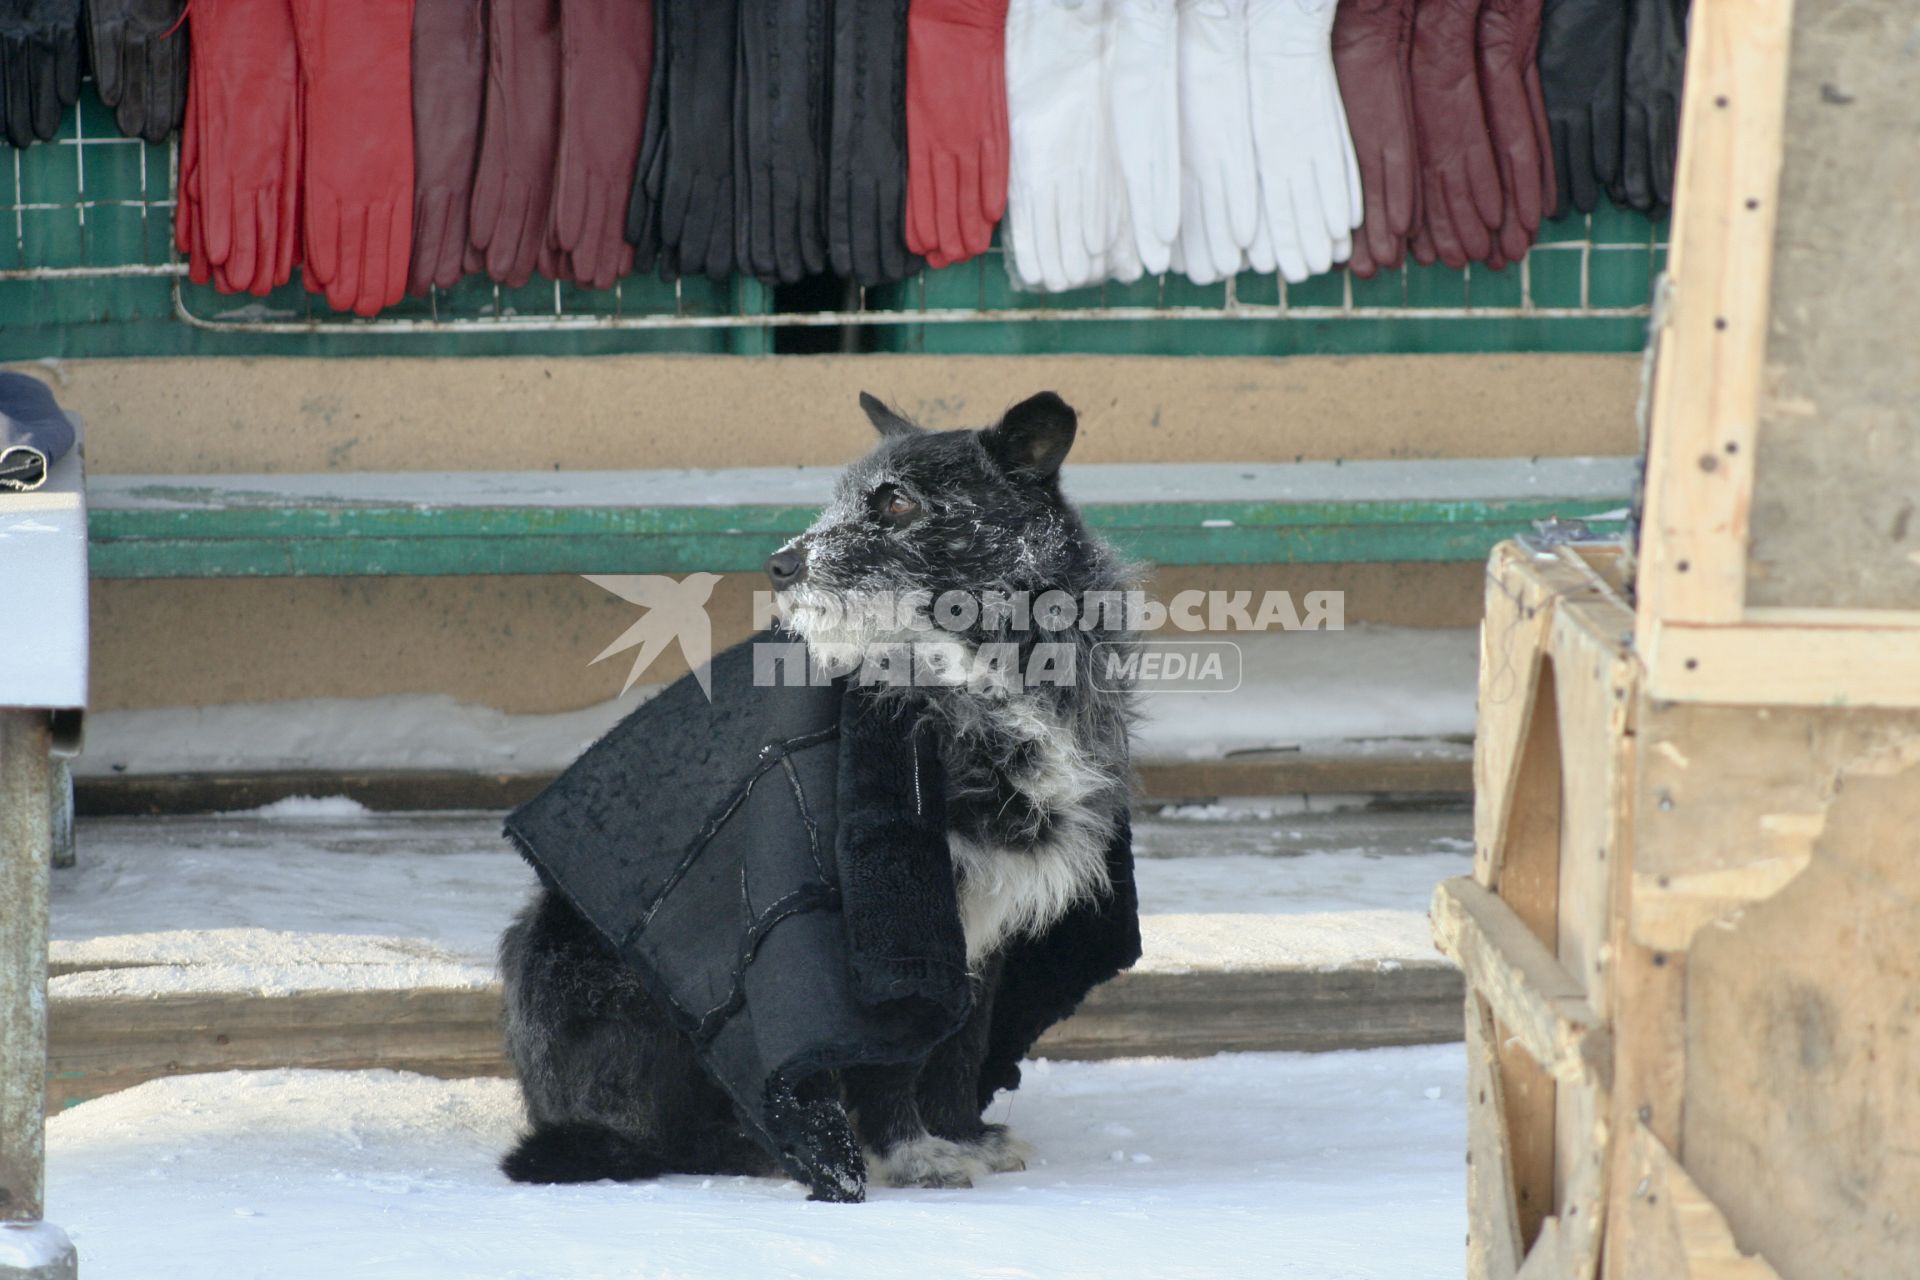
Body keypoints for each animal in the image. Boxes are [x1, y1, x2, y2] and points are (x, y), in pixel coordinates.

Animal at [499, 387, 1136, 1189]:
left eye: (897, 502)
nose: (780, 565)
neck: (971, 680)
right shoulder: (888, 927)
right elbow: (893, 1057)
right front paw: (914, 1153)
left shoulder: (982, 929)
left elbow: (959, 1047)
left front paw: (961, 1135)